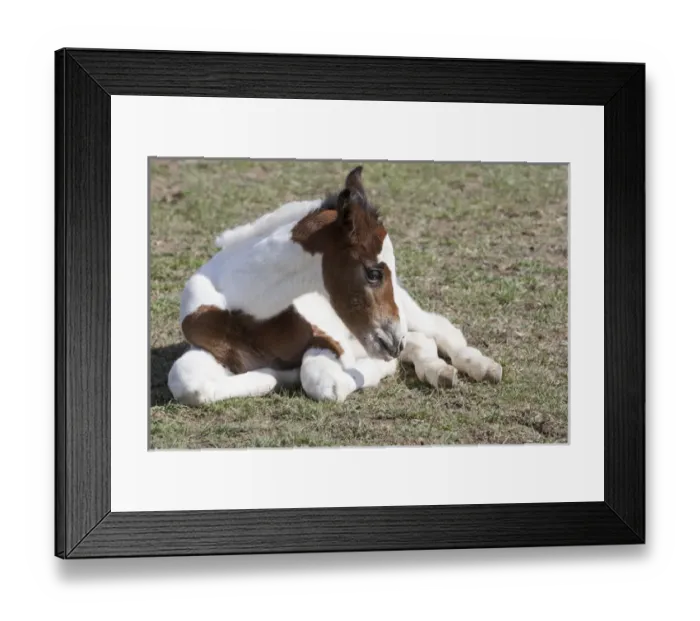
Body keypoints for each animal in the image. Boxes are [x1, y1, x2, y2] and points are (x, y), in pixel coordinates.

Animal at [167, 166, 502, 405]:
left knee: (441, 330)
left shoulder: (331, 341)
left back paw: (480, 367)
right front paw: (275, 374)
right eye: (373, 273)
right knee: (421, 341)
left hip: (407, 313)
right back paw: (436, 370)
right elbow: (185, 381)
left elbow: (321, 381)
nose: (394, 341)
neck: (248, 315)